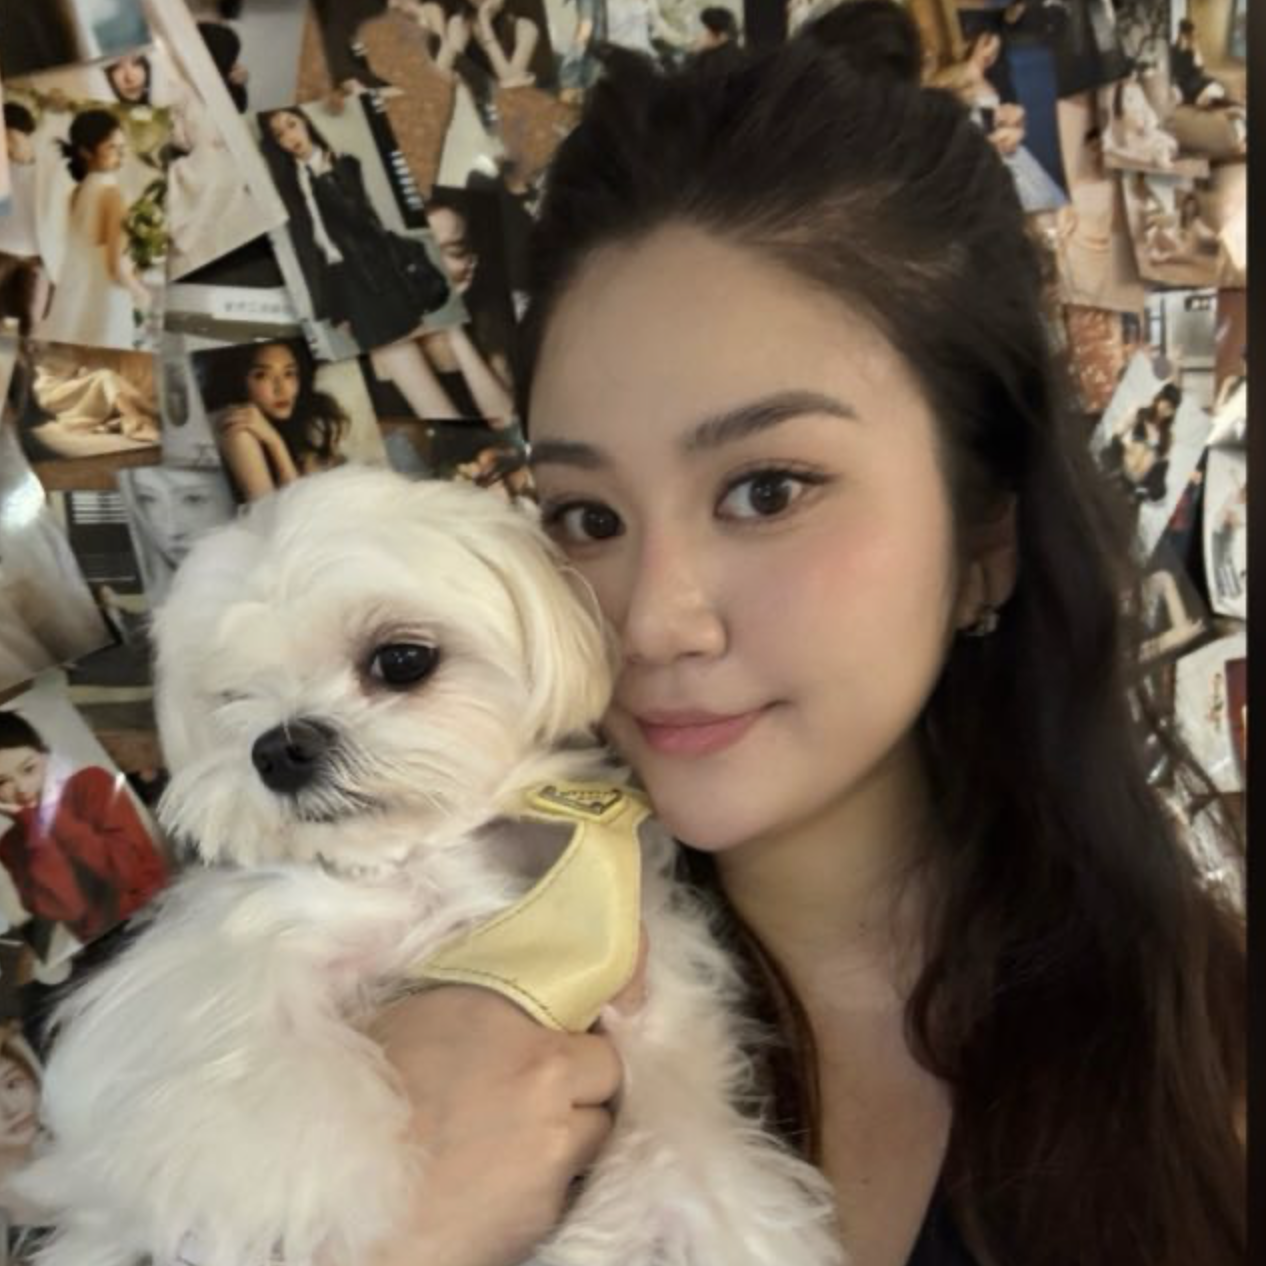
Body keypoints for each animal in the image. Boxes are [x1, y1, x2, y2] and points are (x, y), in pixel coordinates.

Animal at [17, 467, 843, 1266]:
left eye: (403, 660)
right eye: (231, 698)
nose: (277, 748)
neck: (433, 858)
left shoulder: (646, 1006)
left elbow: (685, 1150)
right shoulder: (239, 944)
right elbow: (242, 1035)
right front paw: (278, 1183)